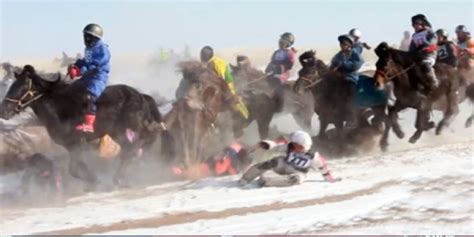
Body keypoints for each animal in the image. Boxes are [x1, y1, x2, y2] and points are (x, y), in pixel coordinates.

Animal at [0, 65, 170, 191]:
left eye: (21, 87)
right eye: (12, 85)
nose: (4, 110)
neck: (58, 108)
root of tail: (141, 96)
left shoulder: (75, 143)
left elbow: (74, 168)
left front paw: (94, 181)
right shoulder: (71, 146)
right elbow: (76, 168)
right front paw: (91, 183)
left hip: (129, 127)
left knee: (142, 140)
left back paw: (121, 176)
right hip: (118, 132)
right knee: (133, 147)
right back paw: (123, 176)